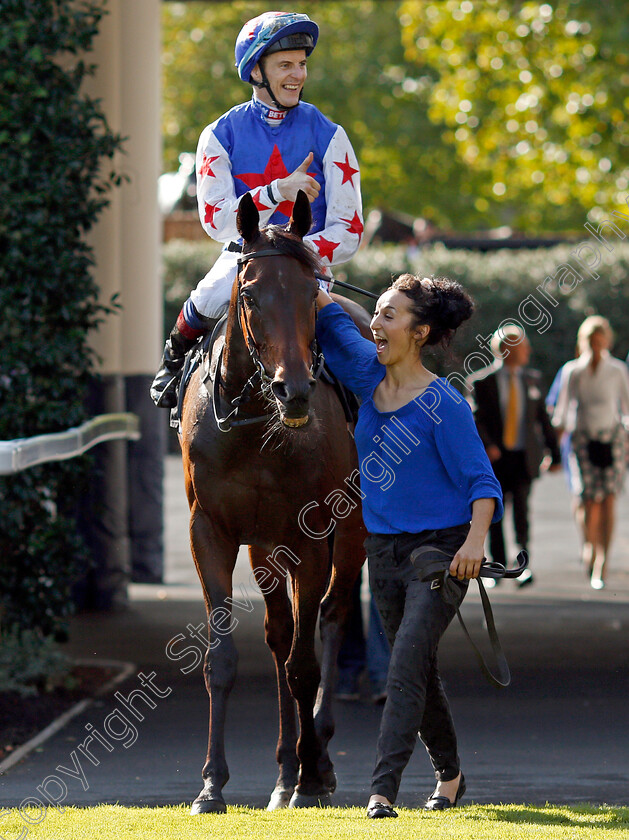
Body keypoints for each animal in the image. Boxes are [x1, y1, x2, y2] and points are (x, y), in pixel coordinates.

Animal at [179, 190, 368, 812]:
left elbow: (305, 663)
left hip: (350, 533)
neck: (256, 427)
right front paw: (211, 784)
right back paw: (286, 769)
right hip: (266, 549)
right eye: (250, 294)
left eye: (311, 295)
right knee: (280, 634)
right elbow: (224, 658)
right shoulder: (211, 532)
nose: (295, 390)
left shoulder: (310, 539)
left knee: (330, 619)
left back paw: (317, 760)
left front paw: (310, 779)